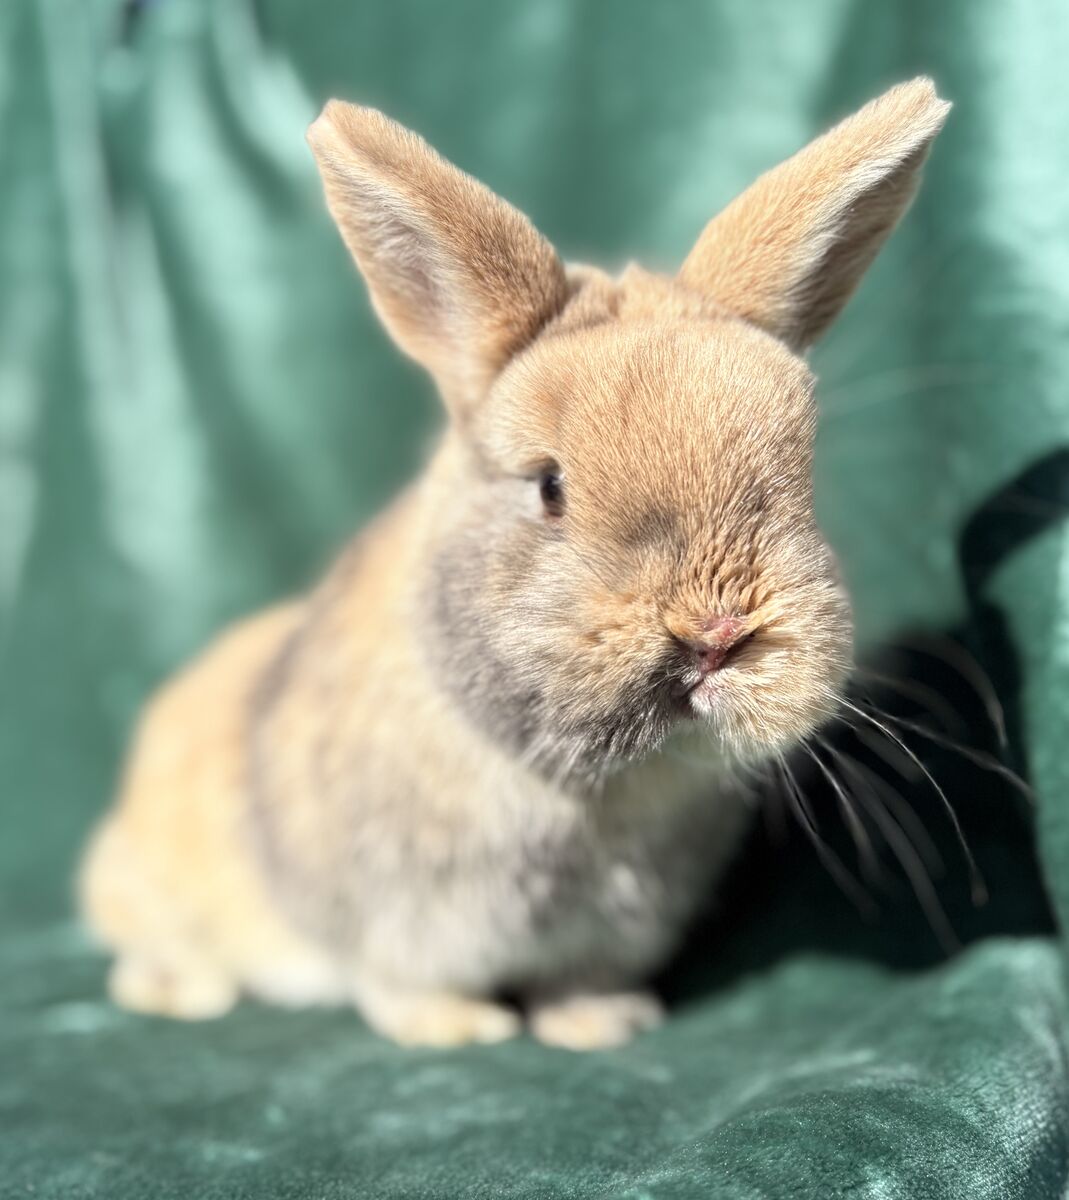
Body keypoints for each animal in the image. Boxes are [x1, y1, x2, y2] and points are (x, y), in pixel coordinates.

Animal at [80, 79, 949, 1049]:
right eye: (549, 486)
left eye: (802, 473)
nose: (717, 633)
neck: (596, 792)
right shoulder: (395, 924)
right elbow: (398, 985)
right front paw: (461, 1032)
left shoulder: (609, 928)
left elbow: (581, 982)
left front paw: (606, 1025)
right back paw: (185, 993)